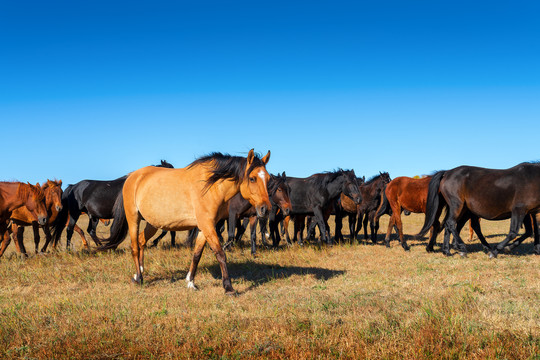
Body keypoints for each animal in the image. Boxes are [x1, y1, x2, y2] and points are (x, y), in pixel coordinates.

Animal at [98, 150, 270, 294]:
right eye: (252, 178)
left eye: (268, 179)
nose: (266, 209)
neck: (210, 186)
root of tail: (132, 176)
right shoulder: (208, 226)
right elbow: (220, 254)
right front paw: (228, 288)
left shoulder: (205, 227)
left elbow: (197, 255)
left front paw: (190, 282)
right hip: (133, 218)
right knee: (134, 246)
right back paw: (139, 278)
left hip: (152, 224)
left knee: (141, 242)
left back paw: (139, 272)